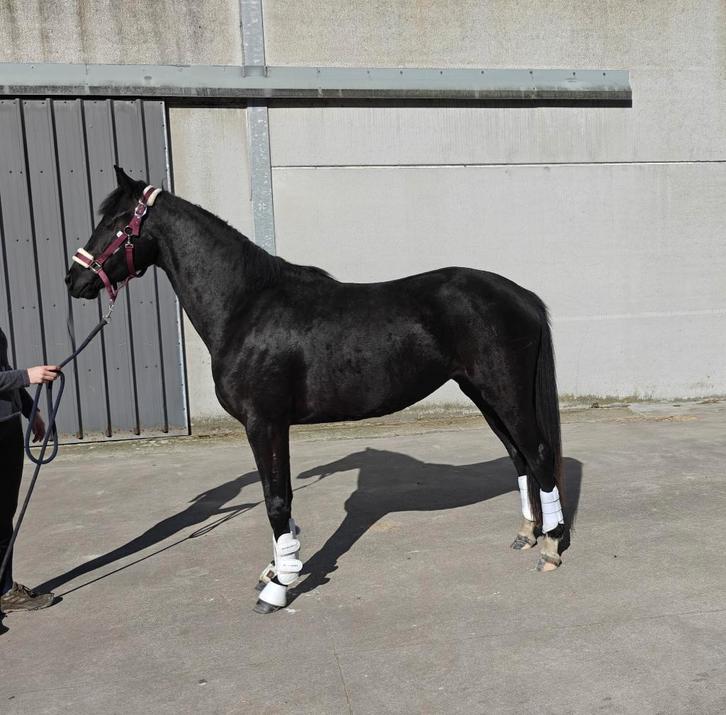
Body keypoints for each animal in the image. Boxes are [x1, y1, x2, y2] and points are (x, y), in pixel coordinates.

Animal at [66, 166, 566, 614]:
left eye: (115, 222)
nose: (74, 280)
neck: (246, 305)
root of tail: (521, 296)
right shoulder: (273, 426)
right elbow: (280, 497)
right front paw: (279, 568)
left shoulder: (263, 423)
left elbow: (275, 501)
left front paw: (277, 588)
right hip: (481, 393)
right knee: (519, 456)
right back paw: (527, 535)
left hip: (504, 392)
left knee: (539, 453)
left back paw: (551, 547)